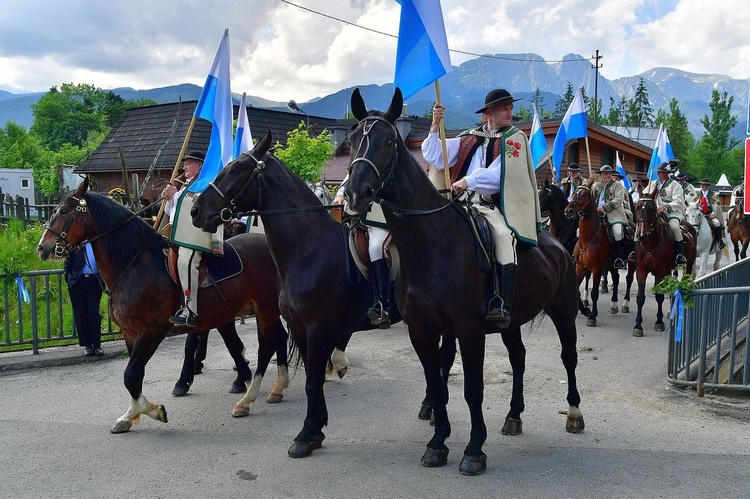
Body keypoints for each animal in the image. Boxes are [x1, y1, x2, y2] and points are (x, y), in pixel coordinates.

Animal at [37, 181, 294, 434]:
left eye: (64, 211)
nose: (42, 247)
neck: (134, 265)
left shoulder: (151, 332)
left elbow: (130, 375)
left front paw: (152, 411)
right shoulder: (130, 334)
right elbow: (134, 376)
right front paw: (130, 415)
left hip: (265, 309)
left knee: (267, 345)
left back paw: (248, 400)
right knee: (277, 338)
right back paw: (276, 388)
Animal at [192, 132, 406, 460]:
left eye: (236, 169)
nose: (196, 211)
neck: (308, 249)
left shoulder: (318, 329)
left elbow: (312, 379)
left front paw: (306, 434)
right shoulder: (303, 329)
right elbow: (310, 380)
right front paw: (315, 430)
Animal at [344, 89, 584, 476]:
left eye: (389, 141)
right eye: (351, 140)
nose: (353, 195)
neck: (432, 246)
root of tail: (557, 244)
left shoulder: (469, 329)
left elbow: (473, 389)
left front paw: (474, 450)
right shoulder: (422, 331)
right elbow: (437, 384)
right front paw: (437, 443)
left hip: (563, 312)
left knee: (569, 356)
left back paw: (575, 413)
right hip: (511, 321)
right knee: (518, 358)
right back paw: (514, 416)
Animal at [564, 181, 636, 328]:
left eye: (584, 194)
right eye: (573, 193)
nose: (568, 211)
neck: (589, 238)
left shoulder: (596, 269)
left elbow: (594, 293)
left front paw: (592, 316)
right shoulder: (580, 267)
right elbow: (576, 289)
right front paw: (585, 310)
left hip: (631, 262)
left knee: (629, 279)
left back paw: (625, 304)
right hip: (611, 265)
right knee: (616, 278)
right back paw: (614, 305)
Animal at [636, 197, 700, 338]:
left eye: (652, 209)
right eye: (637, 207)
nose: (641, 234)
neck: (650, 246)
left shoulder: (661, 273)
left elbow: (659, 296)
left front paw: (659, 323)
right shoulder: (641, 272)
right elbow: (640, 298)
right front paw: (638, 326)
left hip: (688, 265)